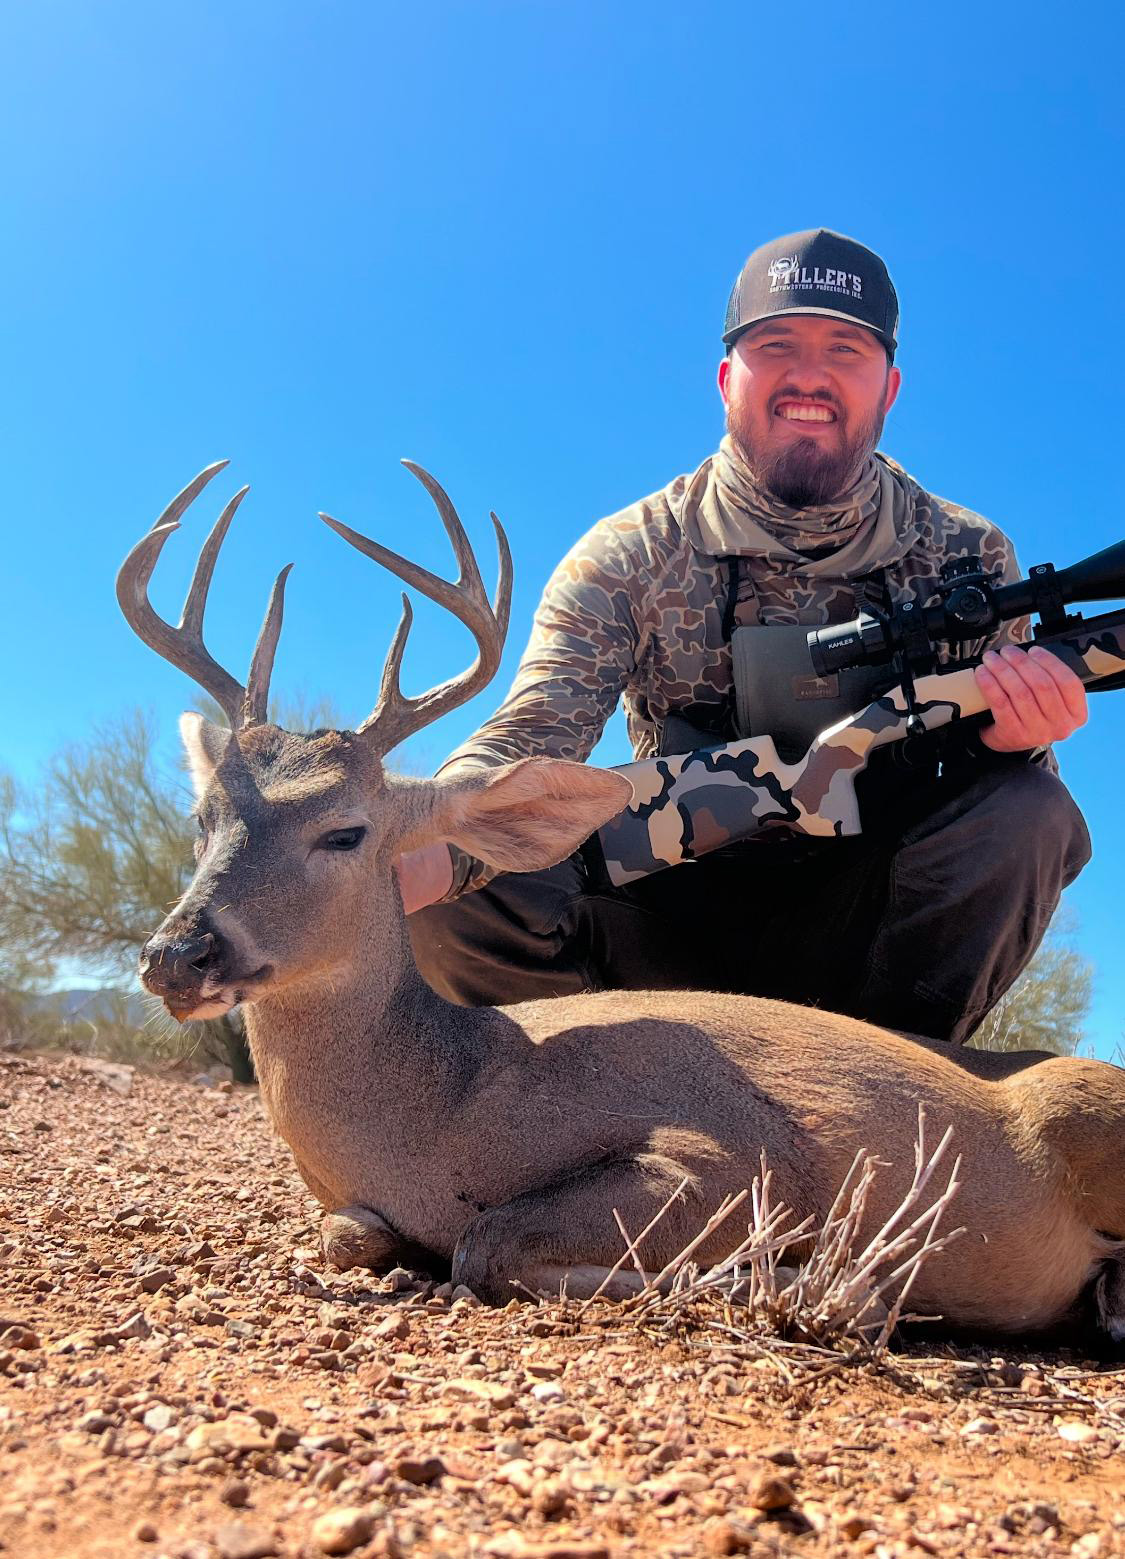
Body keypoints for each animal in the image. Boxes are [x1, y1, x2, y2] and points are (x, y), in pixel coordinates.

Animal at [118, 460, 1125, 1345]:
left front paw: (824, 1286)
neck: (450, 1102)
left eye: (345, 831)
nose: (178, 954)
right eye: (203, 818)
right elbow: (353, 1234)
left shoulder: (735, 1157)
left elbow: (486, 1242)